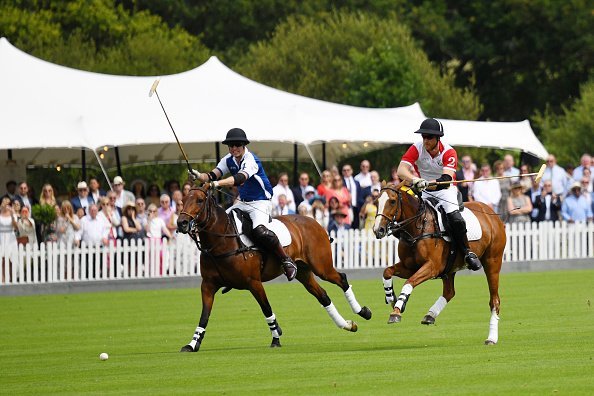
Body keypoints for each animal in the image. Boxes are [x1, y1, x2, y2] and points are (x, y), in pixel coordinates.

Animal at [175, 184, 370, 352]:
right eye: (183, 199)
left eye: (200, 200)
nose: (181, 223)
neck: (221, 242)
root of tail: (315, 222)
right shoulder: (207, 285)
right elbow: (204, 316)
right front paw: (192, 344)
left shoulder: (253, 282)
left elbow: (266, 309)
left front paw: (276, 338)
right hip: (304, 272)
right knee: (323, 295)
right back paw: (347, 324)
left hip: (322, 266)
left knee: (341, 278)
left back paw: (363, 312)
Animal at [372, 182, 502, 344]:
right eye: (376, 201)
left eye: (392, 201)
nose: (378, 230)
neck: (417, 228)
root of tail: (492, 213)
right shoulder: (410, 266)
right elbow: (387, 271)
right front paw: (391, 298)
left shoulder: (432, 267)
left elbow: (409, 282)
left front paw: (396, 311)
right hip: (450, 268)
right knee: (449, 292)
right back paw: (430, 315)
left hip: (493, 262)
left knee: (494, 300)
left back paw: (491, 338)